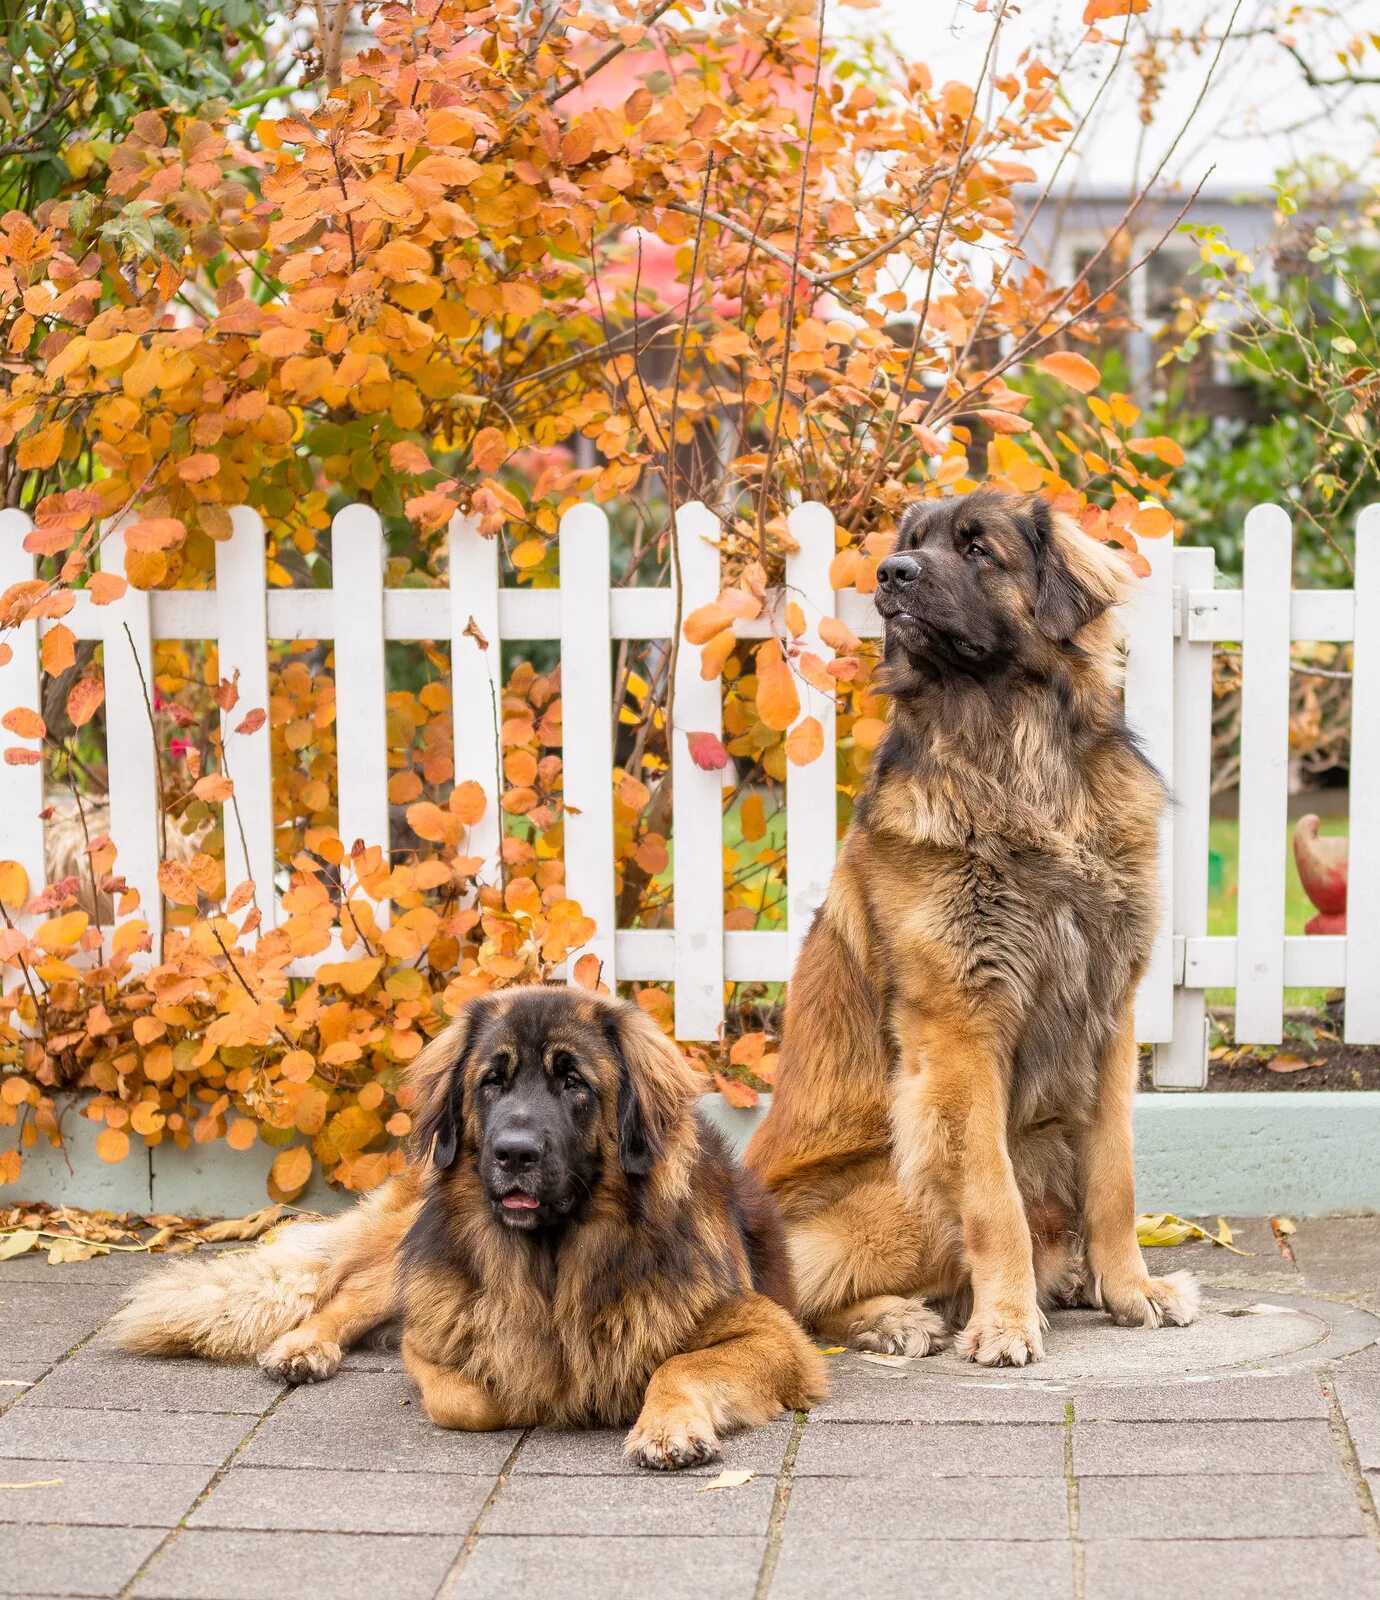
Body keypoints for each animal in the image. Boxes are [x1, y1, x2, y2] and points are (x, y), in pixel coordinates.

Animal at [113, 992, 826, 1465]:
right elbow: (475, 1399)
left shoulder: (771, 1332)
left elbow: (674, 1366)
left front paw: (665, 1427)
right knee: (346, 1293)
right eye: (492, 1082)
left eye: (574, 1081)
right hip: (413, 1255)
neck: (554, 1266)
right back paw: (303, 1346)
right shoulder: (434, 1342)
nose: (512, 1153)